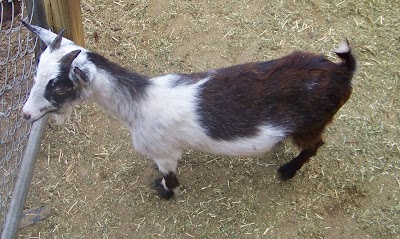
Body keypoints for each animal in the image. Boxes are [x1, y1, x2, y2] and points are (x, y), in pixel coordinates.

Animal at [21, 22, 356, 198]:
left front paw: (163, 191)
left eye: (58, 86)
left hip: (313, 123)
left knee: (315, 145)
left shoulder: (165, 153)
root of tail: (342, 71)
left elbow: (171, 178)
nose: (26, 115)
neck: (138, 104)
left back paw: (287, 170)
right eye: (36, 73)